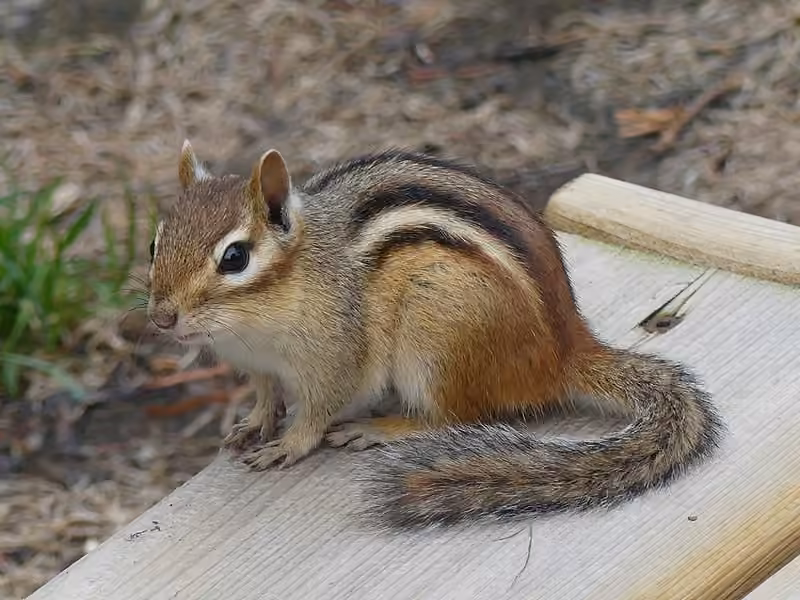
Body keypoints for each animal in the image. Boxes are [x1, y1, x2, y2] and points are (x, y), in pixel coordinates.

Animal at [146, 140, 724, 530]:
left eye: (235, 258)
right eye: (155, 243)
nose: (161, 317)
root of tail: (564, 352)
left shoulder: (335, 359)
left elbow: (315, 413)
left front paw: (287, 445)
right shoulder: (256, 365)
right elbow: (266, 396)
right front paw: (254, 423)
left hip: (436, 335)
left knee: (457, 418)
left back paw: (383, 428)